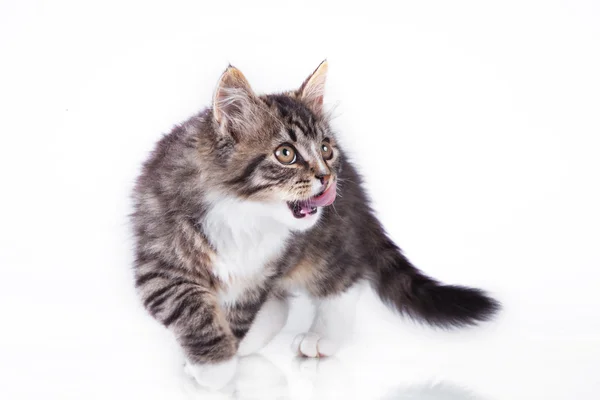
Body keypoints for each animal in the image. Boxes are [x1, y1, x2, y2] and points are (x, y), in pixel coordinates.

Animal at [132, 61, 502, 390]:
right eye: (285, 153)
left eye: (325, 149)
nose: (326, 177)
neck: (244, 212)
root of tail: (355, 185)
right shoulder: (159, 260)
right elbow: (193, 310)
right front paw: (219, 363)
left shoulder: (261, 270)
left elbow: (237, 315)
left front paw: (215, 368)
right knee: (281, 304)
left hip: (327, 241)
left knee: (345, 279)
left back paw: (322, 337)